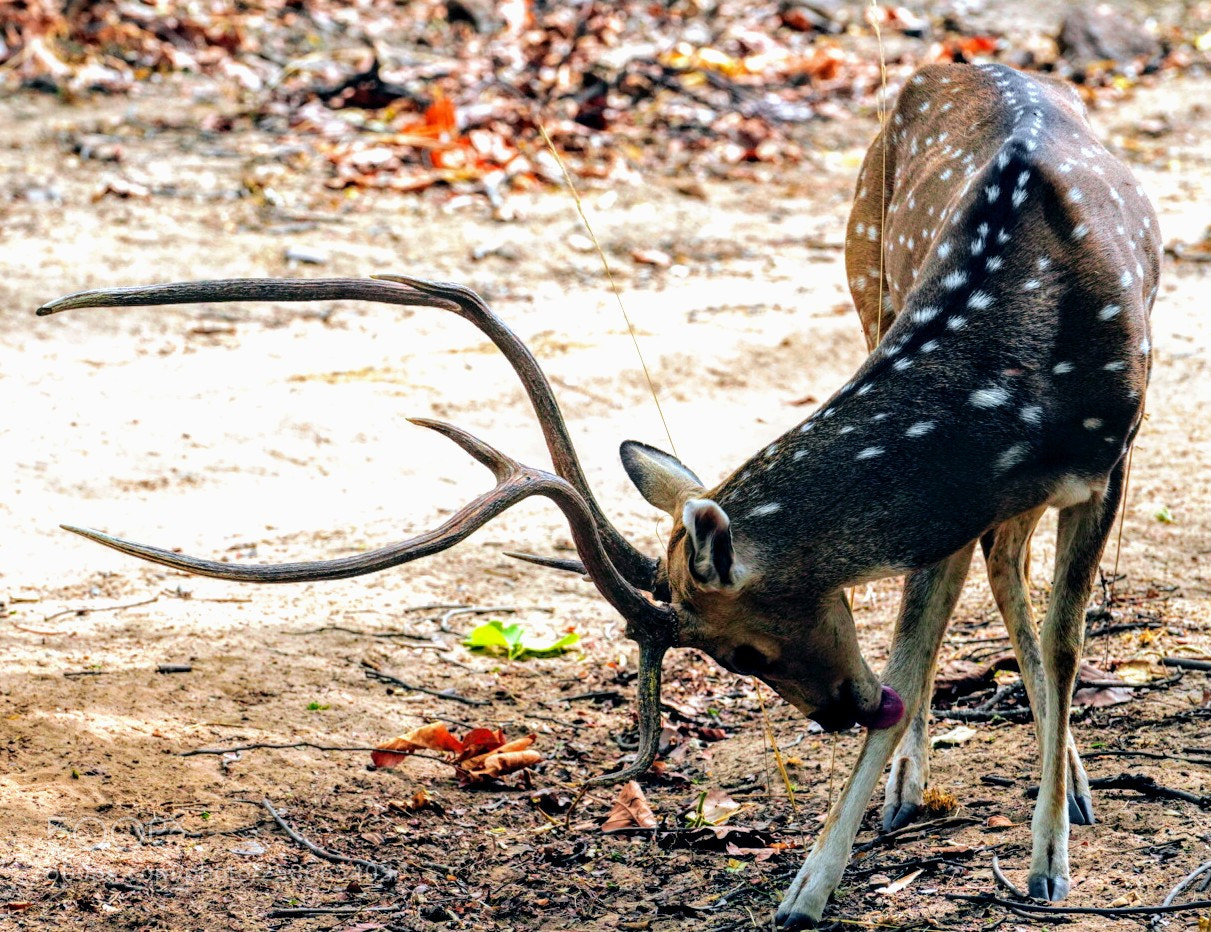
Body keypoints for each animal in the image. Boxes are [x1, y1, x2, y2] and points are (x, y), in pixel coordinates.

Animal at [37, 62, 1159, 927]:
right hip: (864, 281)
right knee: (994, 570)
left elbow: (1064, 640)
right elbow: (917, 650)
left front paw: (1047, 868)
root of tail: (954, 64)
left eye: (737, 649)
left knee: (1017, 582)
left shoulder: (1107, 461)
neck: (1011, 378)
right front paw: (811, 884)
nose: (841, 711)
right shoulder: (954, 503)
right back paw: (928, 789)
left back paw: (1066, 793)